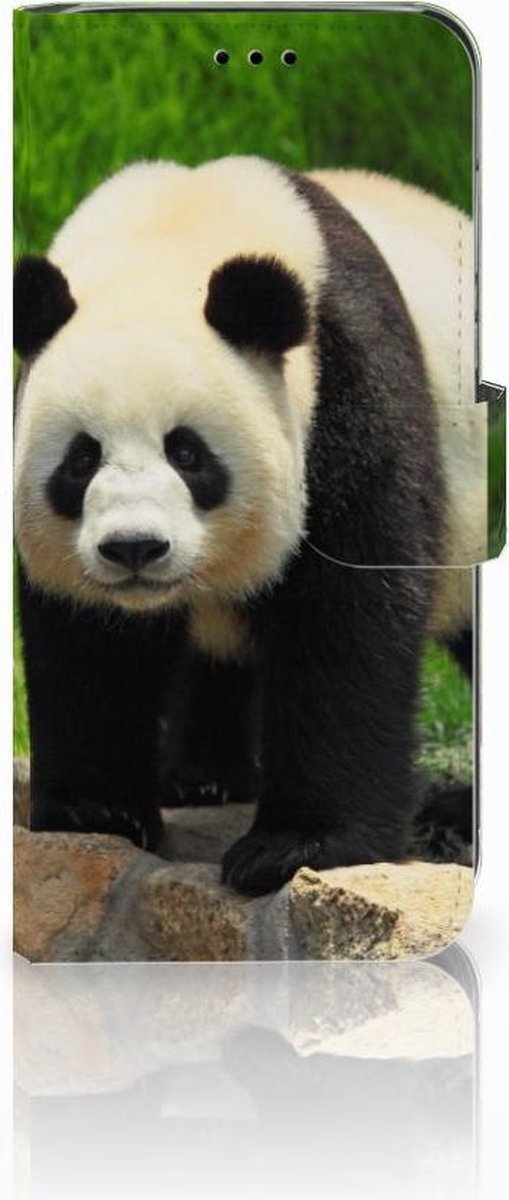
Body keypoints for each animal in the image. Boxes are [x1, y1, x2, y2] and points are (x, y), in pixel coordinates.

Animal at [13, 155, 481, 896]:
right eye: (81, 460)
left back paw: (452, 815)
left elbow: (346, 614)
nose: (134, 548)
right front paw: (97, 811)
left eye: (188, 452)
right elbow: (88, 639)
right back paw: (201, 776)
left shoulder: (348, 386)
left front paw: (296, 847)